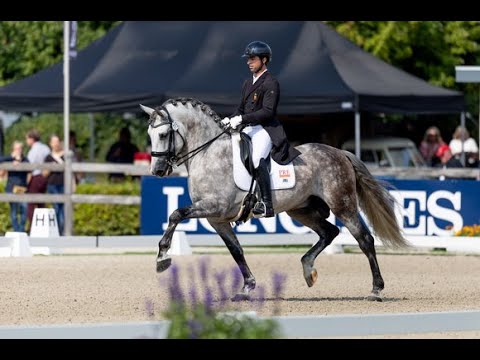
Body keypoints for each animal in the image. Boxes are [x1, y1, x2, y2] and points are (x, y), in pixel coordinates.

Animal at [142, 98, 408, 300]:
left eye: (163, 134)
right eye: (149, 134)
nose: (157, 170)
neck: (209, 153)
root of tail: (340, 152)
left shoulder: (213, 207)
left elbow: (175, 214)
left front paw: (162, 257)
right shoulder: (217, 219)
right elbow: (236, 250)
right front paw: (247, 288)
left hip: (343, 205)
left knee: (365, 239)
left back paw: (376, 290)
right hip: (301, 210)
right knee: (329, 232)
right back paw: (308, 269)